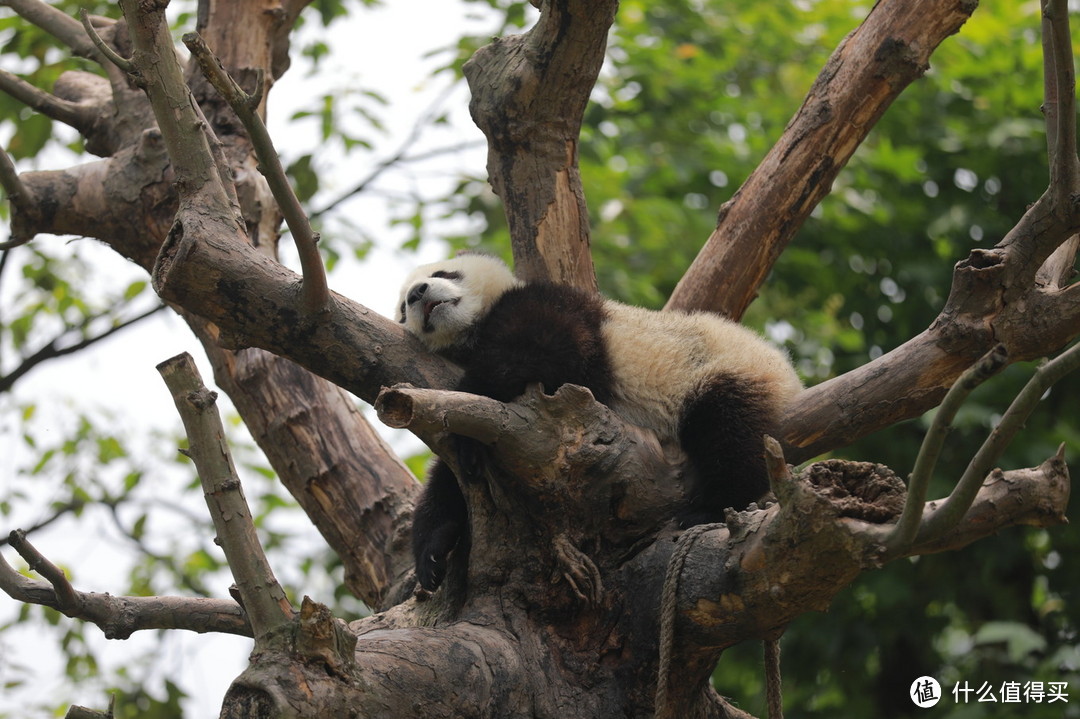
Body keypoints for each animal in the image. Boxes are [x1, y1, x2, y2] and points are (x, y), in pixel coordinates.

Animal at [399, 254, 803, 591]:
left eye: (444, 273)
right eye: (402, 307)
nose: (418, 293)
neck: (472, 332)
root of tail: (791, 378)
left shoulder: (552, 307)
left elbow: (539, 351)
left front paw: (468, 425)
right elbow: (456, 472)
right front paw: (431, 552)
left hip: (727, 369)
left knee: (730, 431)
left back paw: (709, 507)